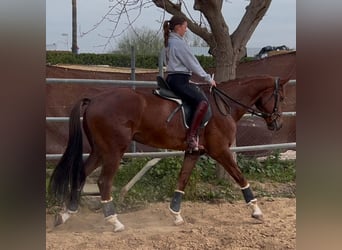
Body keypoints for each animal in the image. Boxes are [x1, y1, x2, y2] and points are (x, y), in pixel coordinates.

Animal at [48, 74, 288, 232]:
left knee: (81, 174)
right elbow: (240, 177)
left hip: (100, 150)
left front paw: (176, 215)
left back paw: (66, 214)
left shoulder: (194, 152)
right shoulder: (220, 151)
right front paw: (256, 211)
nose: (278, 124)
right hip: (114, 151)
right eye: (282, 98)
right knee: (103, 182)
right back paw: (114, 222)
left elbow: (182, 180)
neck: (224, 105)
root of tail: (95, 100)